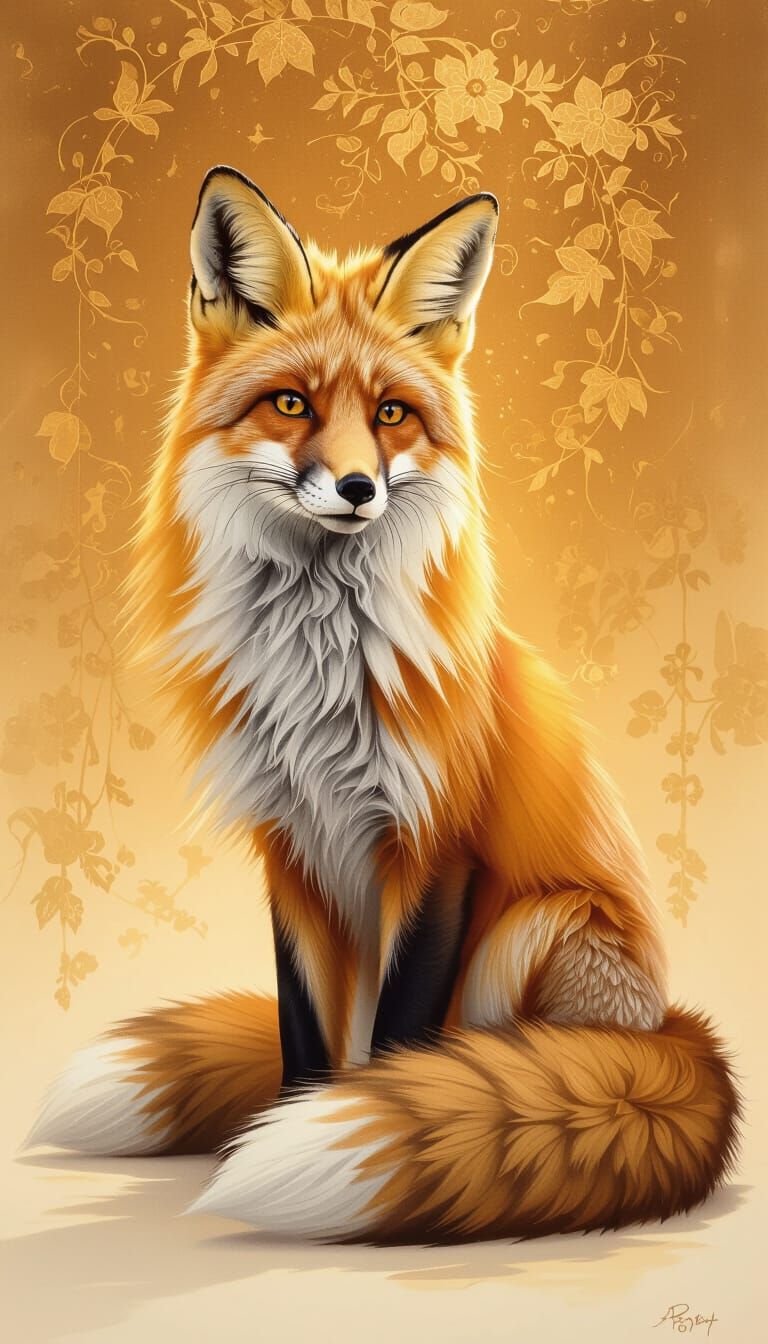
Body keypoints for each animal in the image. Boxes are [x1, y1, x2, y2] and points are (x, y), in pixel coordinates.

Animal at [27, 166, 739, 1244]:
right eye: (291, 403)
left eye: (394, 413)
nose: (359, 487)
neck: (320, 678)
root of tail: (671, 1032)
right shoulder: (289, 846)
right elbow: (304, 1039)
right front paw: (284, 1130)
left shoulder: (436, 843)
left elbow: (403, 1044)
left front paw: (363, 1126)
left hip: (537, 926)